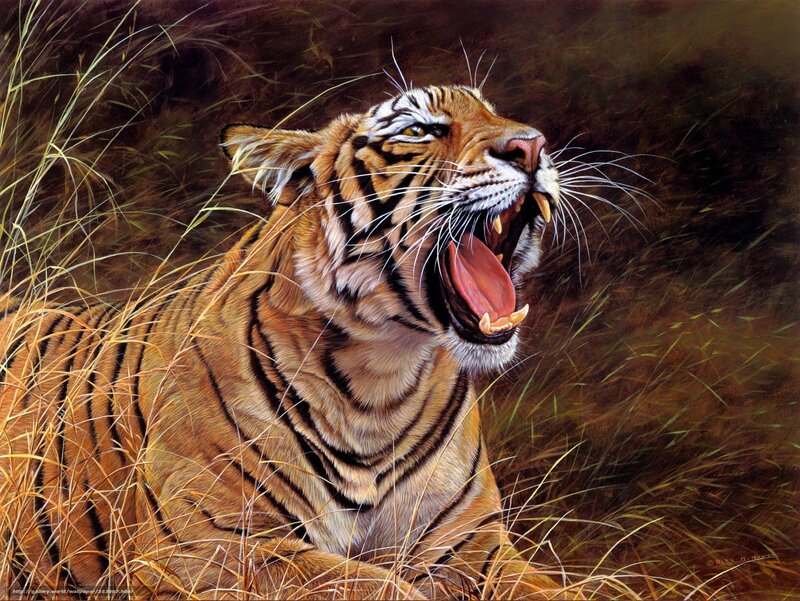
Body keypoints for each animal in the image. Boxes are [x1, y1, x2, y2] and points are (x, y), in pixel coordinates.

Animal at [0, 84, 579, 599]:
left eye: (494, 112)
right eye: (418, 130)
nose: (531, 146)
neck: (380, 380)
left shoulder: (471, 548)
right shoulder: (211, 550)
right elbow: (367, 586)